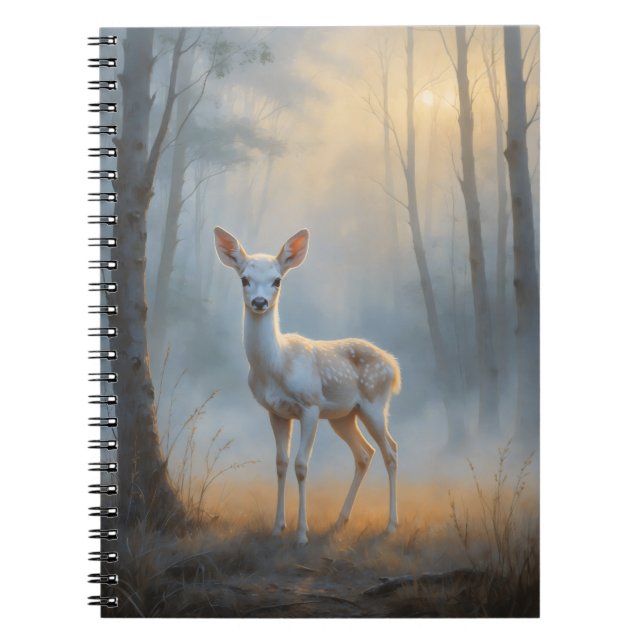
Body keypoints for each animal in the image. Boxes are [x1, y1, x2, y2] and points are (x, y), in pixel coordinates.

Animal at [214, 226, 401, 545]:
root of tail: (394, 365)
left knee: (391, 452)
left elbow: (302, 465)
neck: (277, 366)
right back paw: (341, 520)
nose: (260, 302)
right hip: (344, 415)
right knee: (365, 453)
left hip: (375, 403)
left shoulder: (310, 406)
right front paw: (278, 527)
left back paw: (390, 525)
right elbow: (281, 463)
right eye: (244, 279)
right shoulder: (275, 411)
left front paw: (302, 532)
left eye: (277, 280)